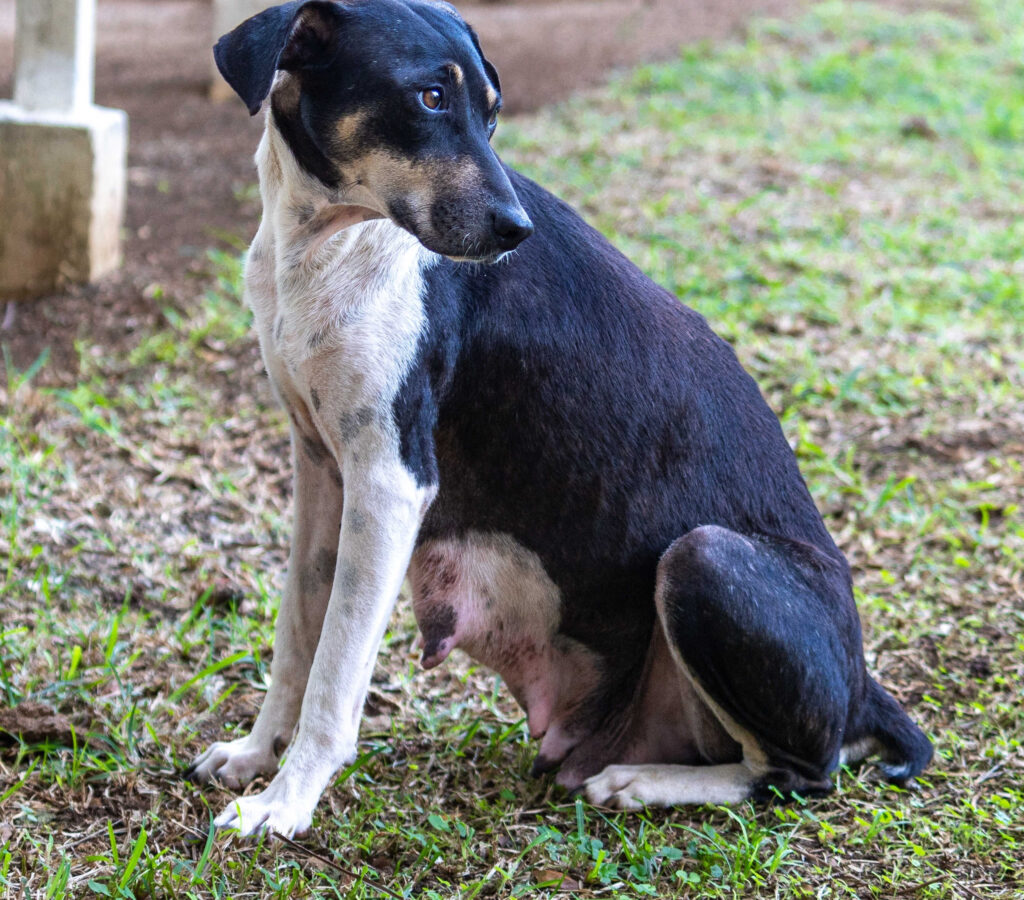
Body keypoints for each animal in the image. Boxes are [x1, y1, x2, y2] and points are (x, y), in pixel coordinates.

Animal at [188, 0, 933, 839]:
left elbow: (333, 679)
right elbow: (296, 641)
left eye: (492, 110)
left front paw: (286, 802)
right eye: (430, 99)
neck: (330, 237)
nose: (516, 232)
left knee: (798, 775)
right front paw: (256, 756)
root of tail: (865, 685)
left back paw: (643, 783)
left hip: (705, 558)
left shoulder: (389, 482)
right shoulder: (322, 467)